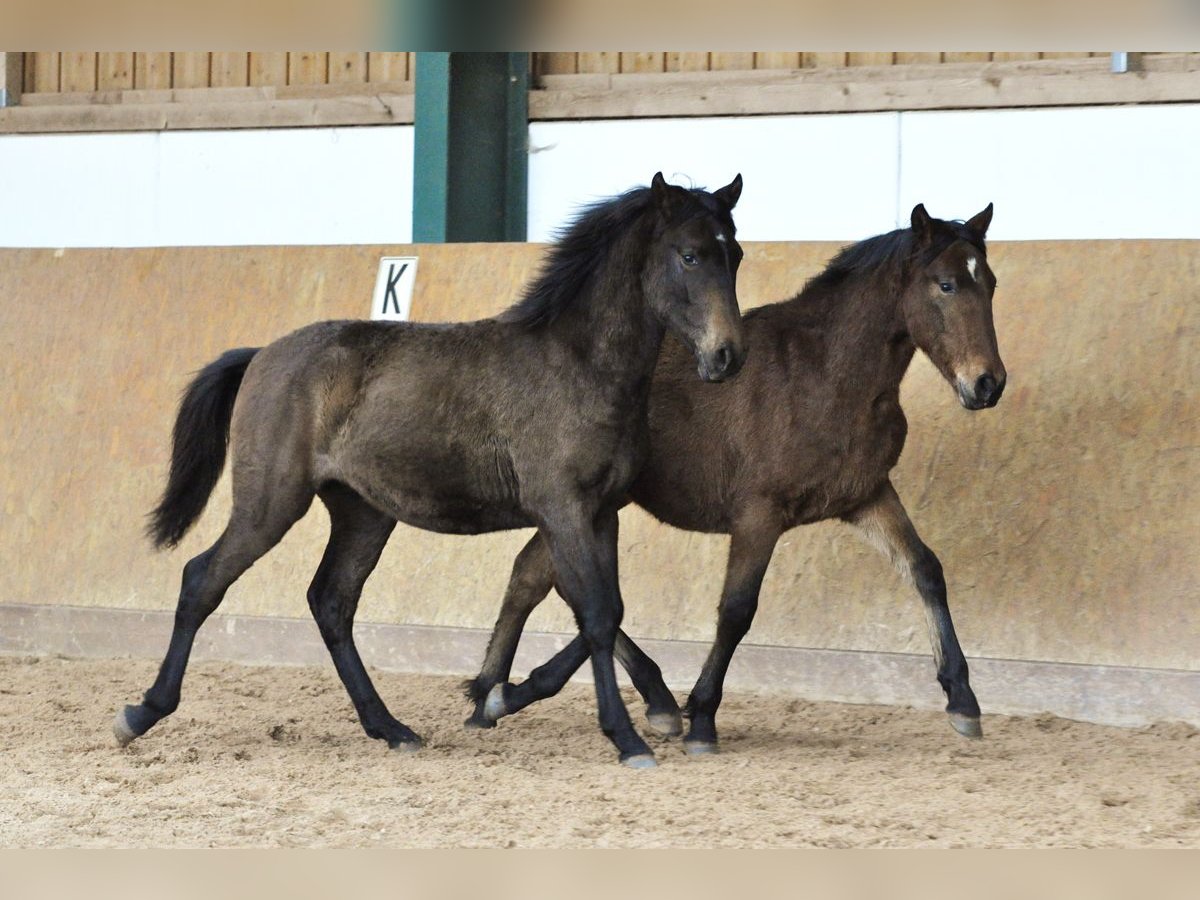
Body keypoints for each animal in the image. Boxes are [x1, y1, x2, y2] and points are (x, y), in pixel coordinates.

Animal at [117, 170, 744, 768]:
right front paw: (627, 738)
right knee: (203, 580)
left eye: (734, 255)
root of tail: (261, 356)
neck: (579, 365)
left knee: (332, 602)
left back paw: (391, 729)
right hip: (270, 503)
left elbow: (604, 610)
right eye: (689, 255)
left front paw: (521, 699)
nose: (727, 356)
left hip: (363, 513)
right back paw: (141, 713)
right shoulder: (563, 509)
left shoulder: (600, 512)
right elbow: (593, 612)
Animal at [465, 202, 1003, 753]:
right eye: (945, 285)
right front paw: (702, 717)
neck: (823, 374)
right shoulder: (759, 514)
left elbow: (925, 569)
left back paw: (497, 693)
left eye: (991, 284)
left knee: (536, 577)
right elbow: (736, 610)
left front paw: (962, 700)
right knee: (564, 586)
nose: (987, 384)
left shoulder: (867, 496)